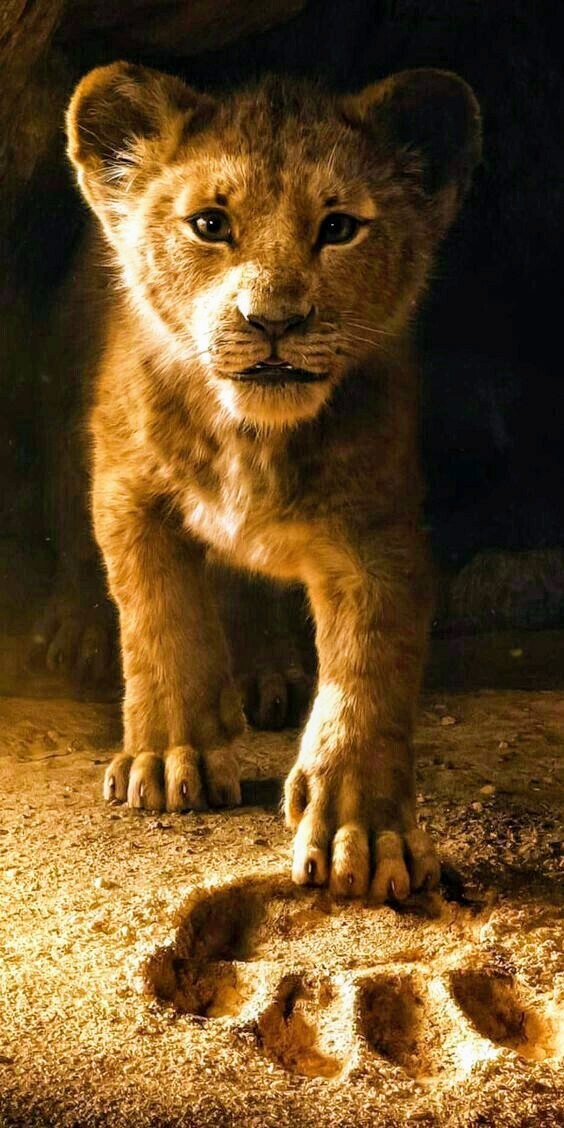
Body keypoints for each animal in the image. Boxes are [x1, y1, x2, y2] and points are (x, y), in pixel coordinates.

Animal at [54, 62, 481, 900]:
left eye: (339, 228)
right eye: (210, 224)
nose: (274, 321)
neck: (252, 435)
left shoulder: (378, 531)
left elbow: (369, 673)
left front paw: (363, 830)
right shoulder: (126, 488)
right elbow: (161, 620)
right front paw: (170, 758)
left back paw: (264, 673)